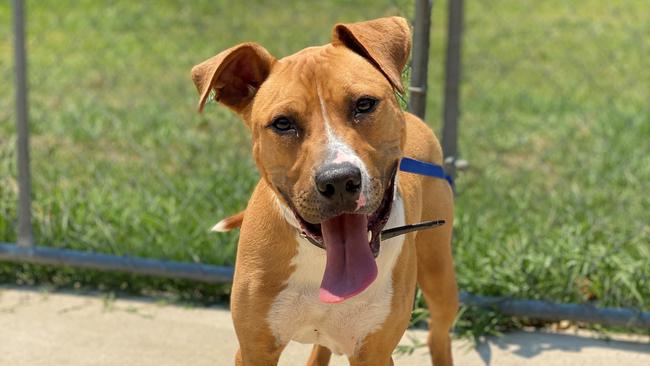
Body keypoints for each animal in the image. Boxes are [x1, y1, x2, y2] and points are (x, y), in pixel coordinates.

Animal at [191, 16, 456, 366]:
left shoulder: (374, 353)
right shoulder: (254, 350)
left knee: (438, 333)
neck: (321, 257)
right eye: (282, 123)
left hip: (439, 274)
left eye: (364, 104)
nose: (339, 180)